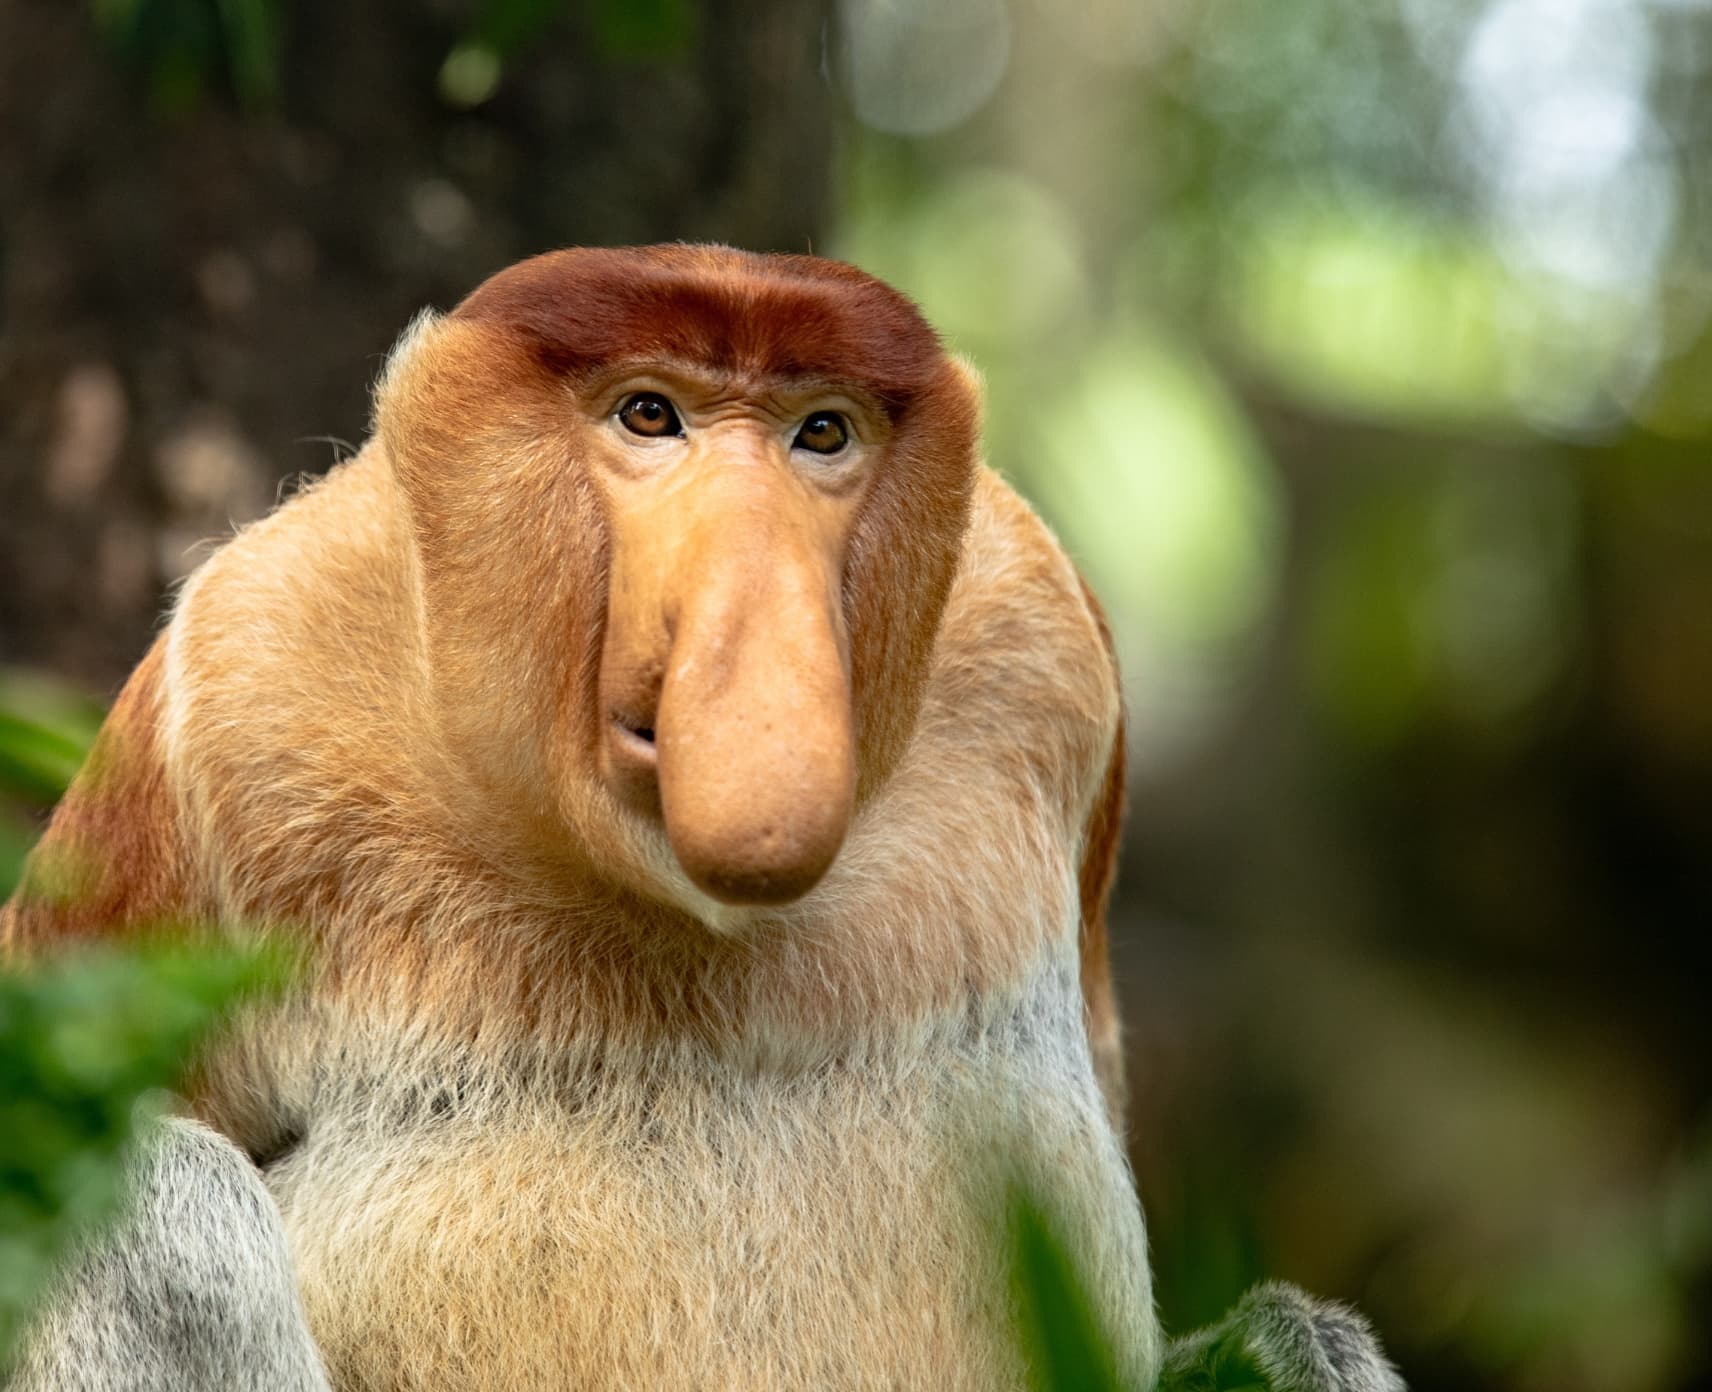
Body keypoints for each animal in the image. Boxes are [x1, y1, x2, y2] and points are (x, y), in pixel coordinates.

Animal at [3, 244, 1403, 1383]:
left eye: (821, 434)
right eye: (649, 415)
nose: (749, 639)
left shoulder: (1042, 631)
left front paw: (1279, 1351)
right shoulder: (235, 683)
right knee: (152, 1206)